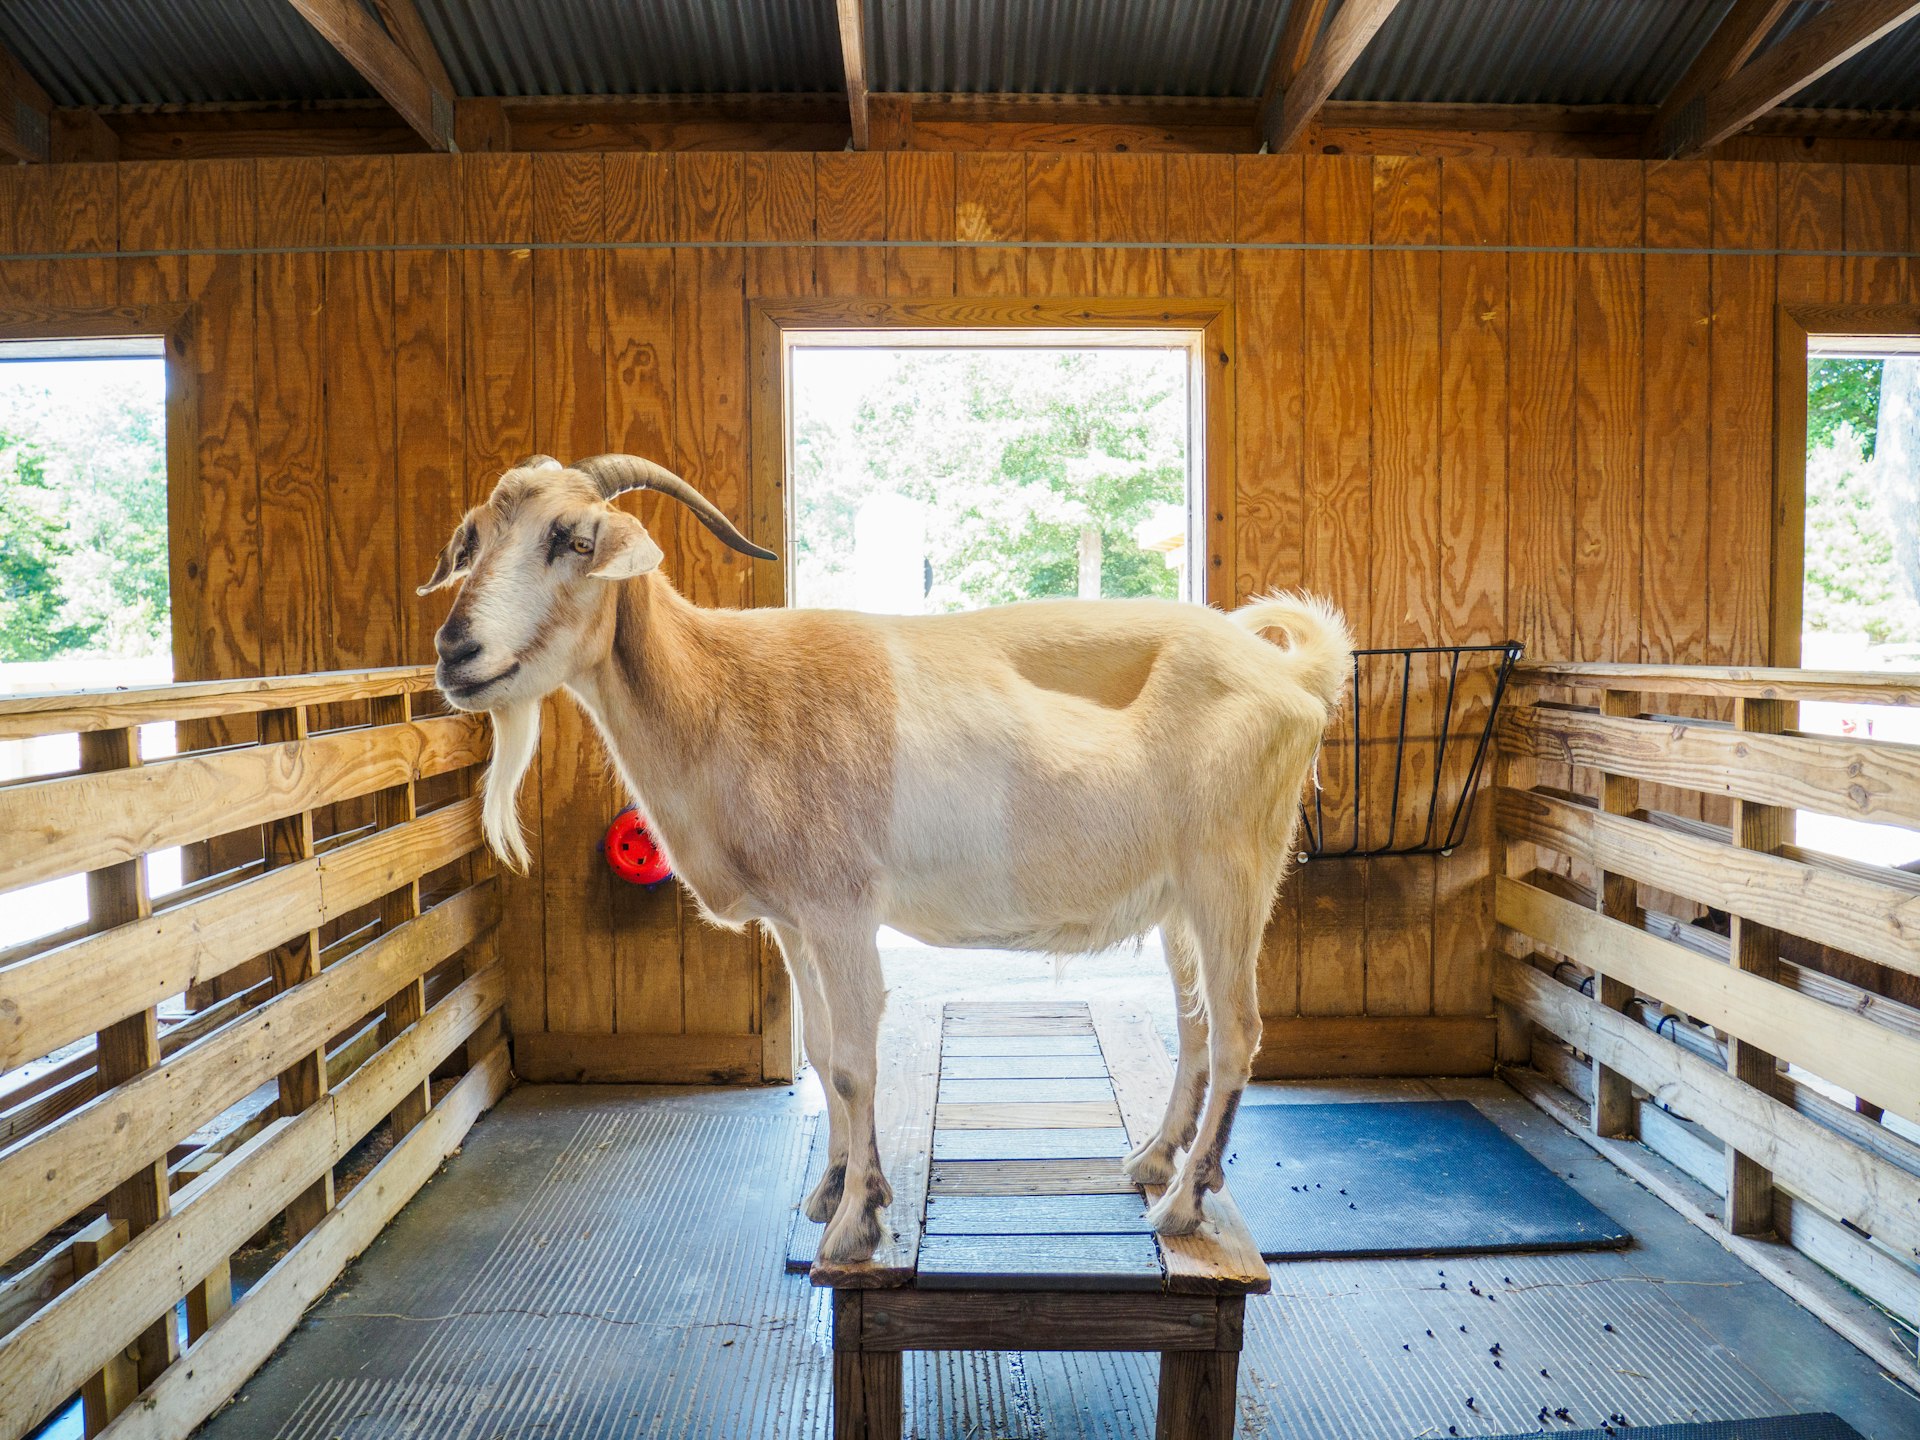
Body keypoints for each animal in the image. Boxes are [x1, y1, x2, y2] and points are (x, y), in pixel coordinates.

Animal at [423, 454, 1352, 1263]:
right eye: (474, 539)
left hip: (1232, 873)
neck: (725, 692)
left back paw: (1185, 1203)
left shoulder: (842, 908)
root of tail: (1293, 675)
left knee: (1237, 1033)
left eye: (575, 539)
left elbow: (853, 1063)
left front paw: (853, 1228)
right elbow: (822, 1052)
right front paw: (836, 1190)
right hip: (1177, 902)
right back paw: (1152, 1159)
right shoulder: (794, 921)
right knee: (1194, 1026)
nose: (456, 653)